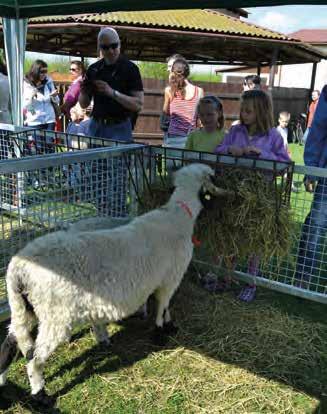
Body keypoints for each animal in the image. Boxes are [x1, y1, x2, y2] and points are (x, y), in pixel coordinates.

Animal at [0, 163, 224, 406]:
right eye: (214, 177)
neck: (178, 214)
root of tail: (18, 268)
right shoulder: (170, 278)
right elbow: (164, 306)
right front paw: (162, 331)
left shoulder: (163, 279)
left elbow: (164, 306)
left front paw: (164, 326)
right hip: (55, 314)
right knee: (34, 359)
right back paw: (41, 396)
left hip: (24, 307)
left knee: (10, 342)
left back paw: (2, 382)